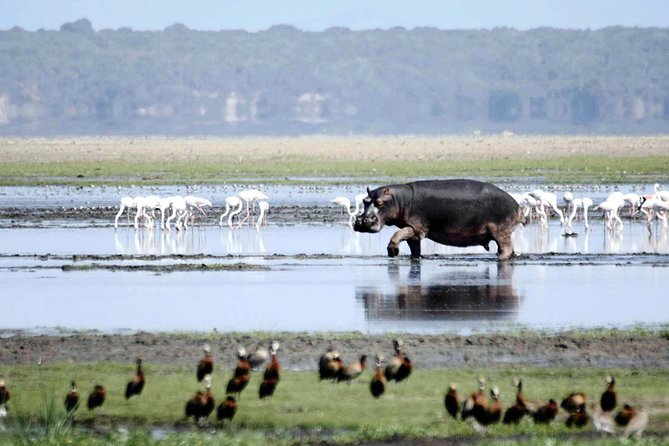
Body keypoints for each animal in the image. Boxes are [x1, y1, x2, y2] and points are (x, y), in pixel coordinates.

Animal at [353, 179, 521, 260]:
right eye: (364, 201)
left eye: (379, 203)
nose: (361, 221)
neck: (399, 199)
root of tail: (516, 204)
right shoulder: (413, 232)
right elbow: (414, 247)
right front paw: (415, 257)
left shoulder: (416, 227)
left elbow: (397, 235)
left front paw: (393, 252)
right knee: (509, 249)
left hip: (500, 231)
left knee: (506, 248)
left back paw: (499, 258)